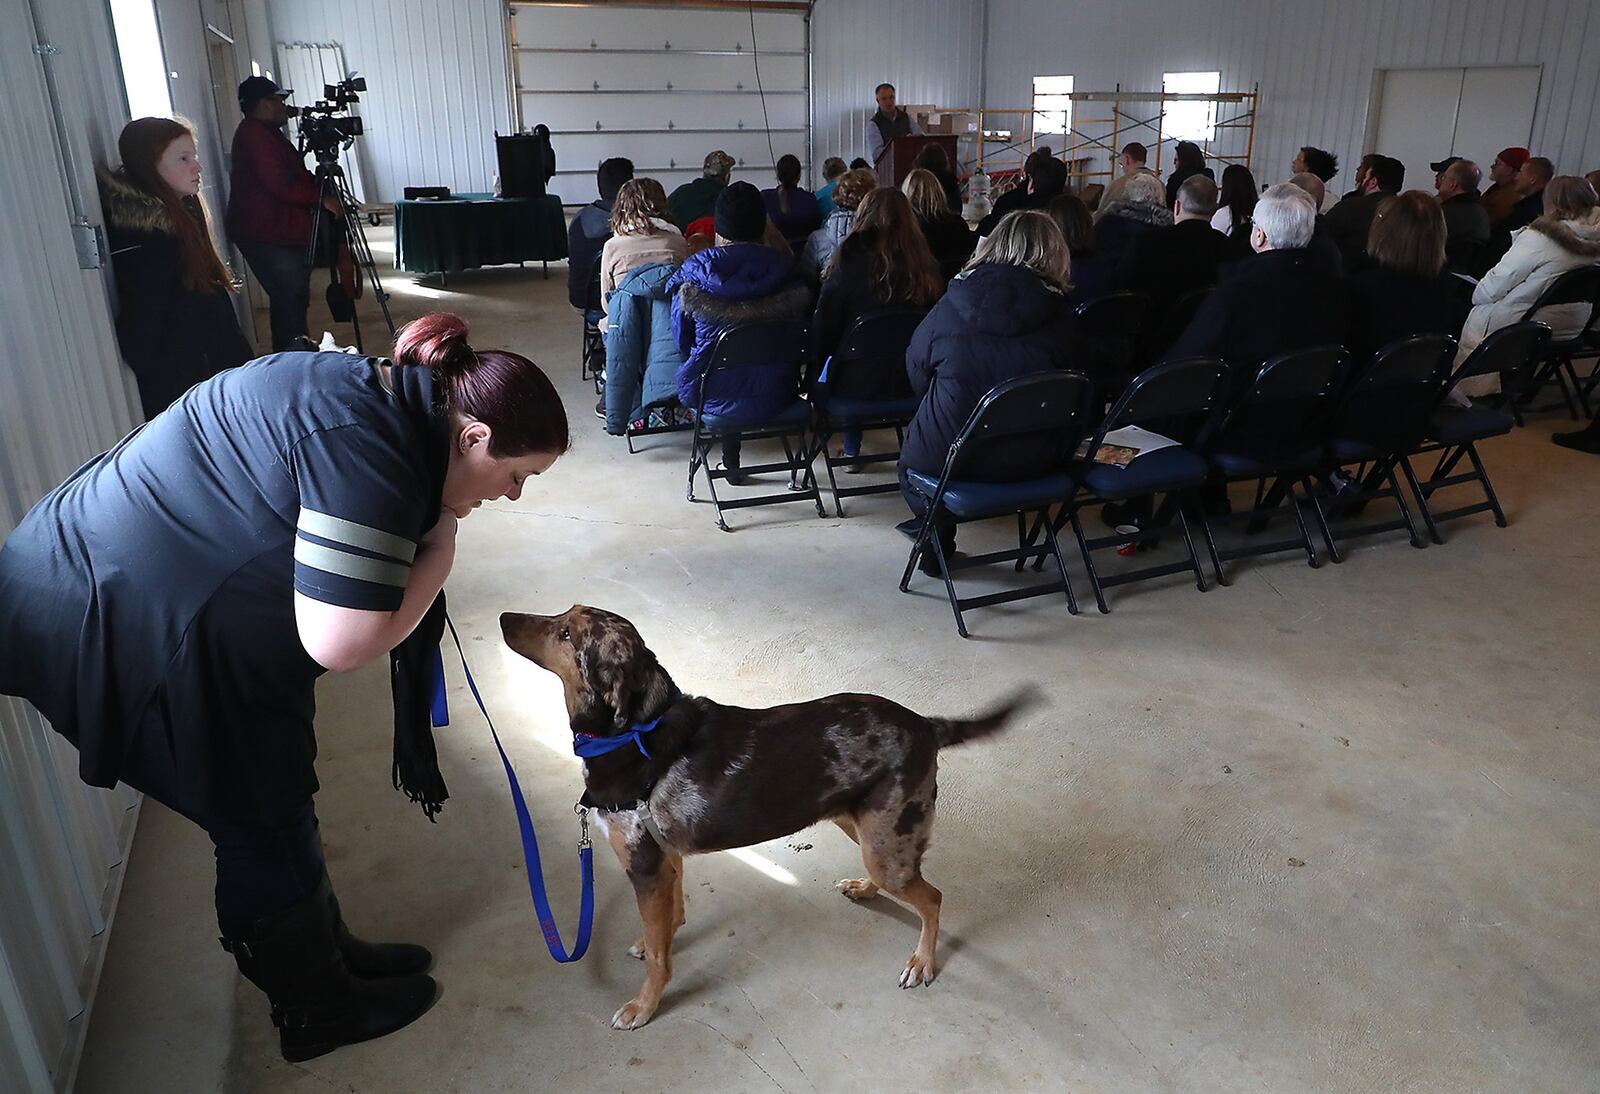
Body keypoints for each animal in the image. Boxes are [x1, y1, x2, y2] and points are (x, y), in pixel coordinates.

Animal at [492, 601, 1030, 1030]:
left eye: (566, 633)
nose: (503, 618)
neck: (634, 731)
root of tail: (924, 723)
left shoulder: (644, 866)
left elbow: (661, 960)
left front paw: (644, 1006)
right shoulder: (665, 861)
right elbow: (670, 922)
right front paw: (654, 940)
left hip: (887, 844)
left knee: (932, 898)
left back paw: (922, 961)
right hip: (861, 824)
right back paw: (863, 889)